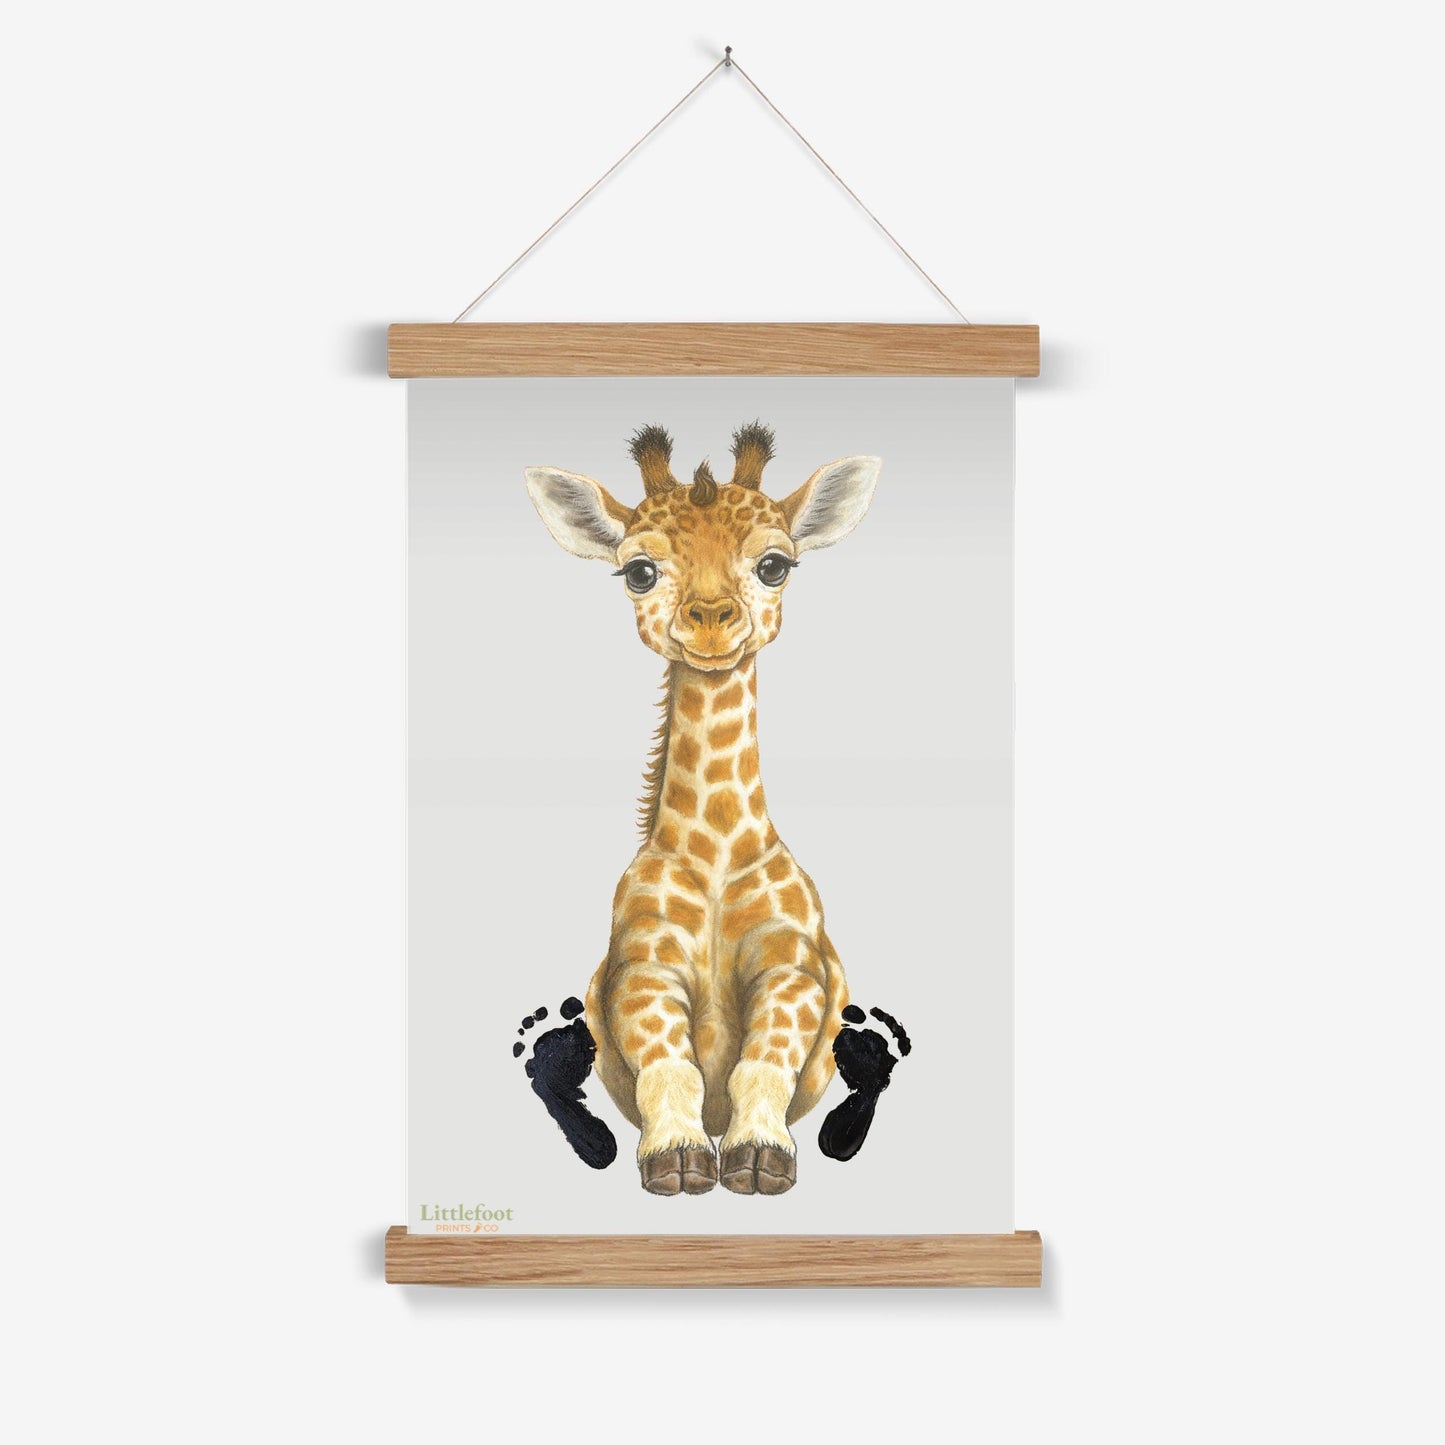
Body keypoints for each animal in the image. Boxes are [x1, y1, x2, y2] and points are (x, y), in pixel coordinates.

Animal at [524, 422, 882, 1196]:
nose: (713, 622)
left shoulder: (793, 964)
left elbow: (763, 1059)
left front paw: (759, 1155)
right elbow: (671, 1064)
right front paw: (677, 1157)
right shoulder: (643, 965)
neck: (716, 854)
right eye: (639, 572)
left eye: (775, 565)